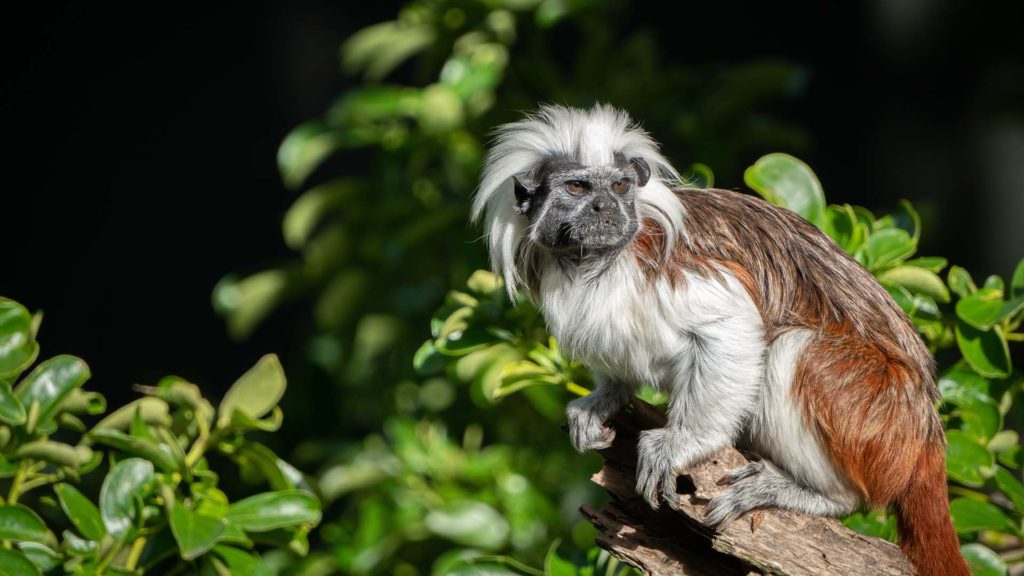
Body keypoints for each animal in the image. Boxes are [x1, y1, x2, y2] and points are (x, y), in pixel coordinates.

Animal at [471, 103, 966, 573]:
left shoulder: (669, 264)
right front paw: (603, 400)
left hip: (876, 411)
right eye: (577, 188)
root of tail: (926, 431)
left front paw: (679, 444)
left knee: (795, 350)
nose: (605, 209)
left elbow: (732, 326)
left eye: (619, 187)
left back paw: (814, 493)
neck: (594, 264)